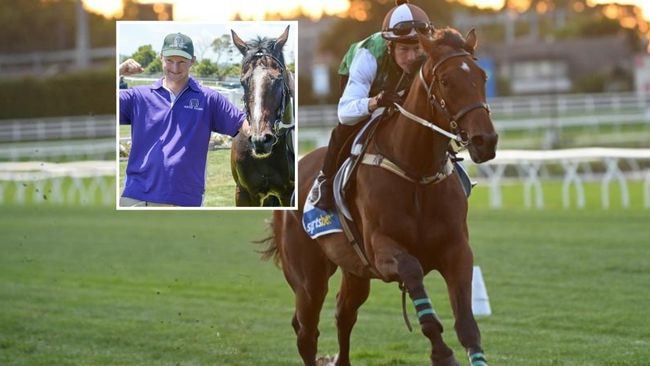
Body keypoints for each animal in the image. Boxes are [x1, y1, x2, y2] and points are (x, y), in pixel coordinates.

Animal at [258, 28, 496, 366]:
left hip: (355, 271)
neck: (416, 171)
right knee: (306, 331)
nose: (485, 140)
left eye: (482, 76)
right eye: (446, 81)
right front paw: (441, 352)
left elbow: (467, 324)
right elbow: (412, 273)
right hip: (308, 279)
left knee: (343, 314)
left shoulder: (457, 250)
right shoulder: (382, 250)